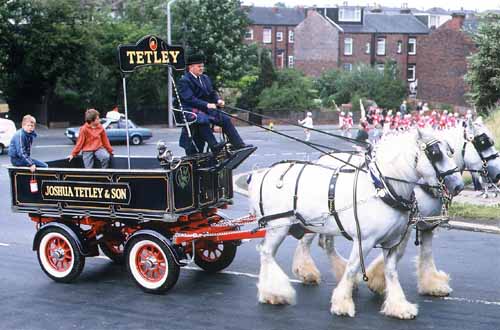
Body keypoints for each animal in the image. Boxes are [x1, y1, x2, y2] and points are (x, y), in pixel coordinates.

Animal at [248, 130, 462, 320]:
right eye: (436, 153)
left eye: (451, 151)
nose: (458, 185)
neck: (383, 189)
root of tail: (263, 173)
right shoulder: (364, 240)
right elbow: (352, 268)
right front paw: (342, 303)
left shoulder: (392, 241)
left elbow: (391, 271)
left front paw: (398, 306)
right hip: (278, 225)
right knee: (267, 253)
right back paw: (274, 293)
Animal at [292, 120, 500, 298]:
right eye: (483, 142)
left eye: (450, 152)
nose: (498, 174)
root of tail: (321, 158)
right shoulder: (406, 225)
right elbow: (398, 253)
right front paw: (378, 282)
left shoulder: (427, 224)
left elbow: (426, 253)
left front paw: (431, 284)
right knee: (307, 240)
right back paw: (306, 272)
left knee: (326, 242)